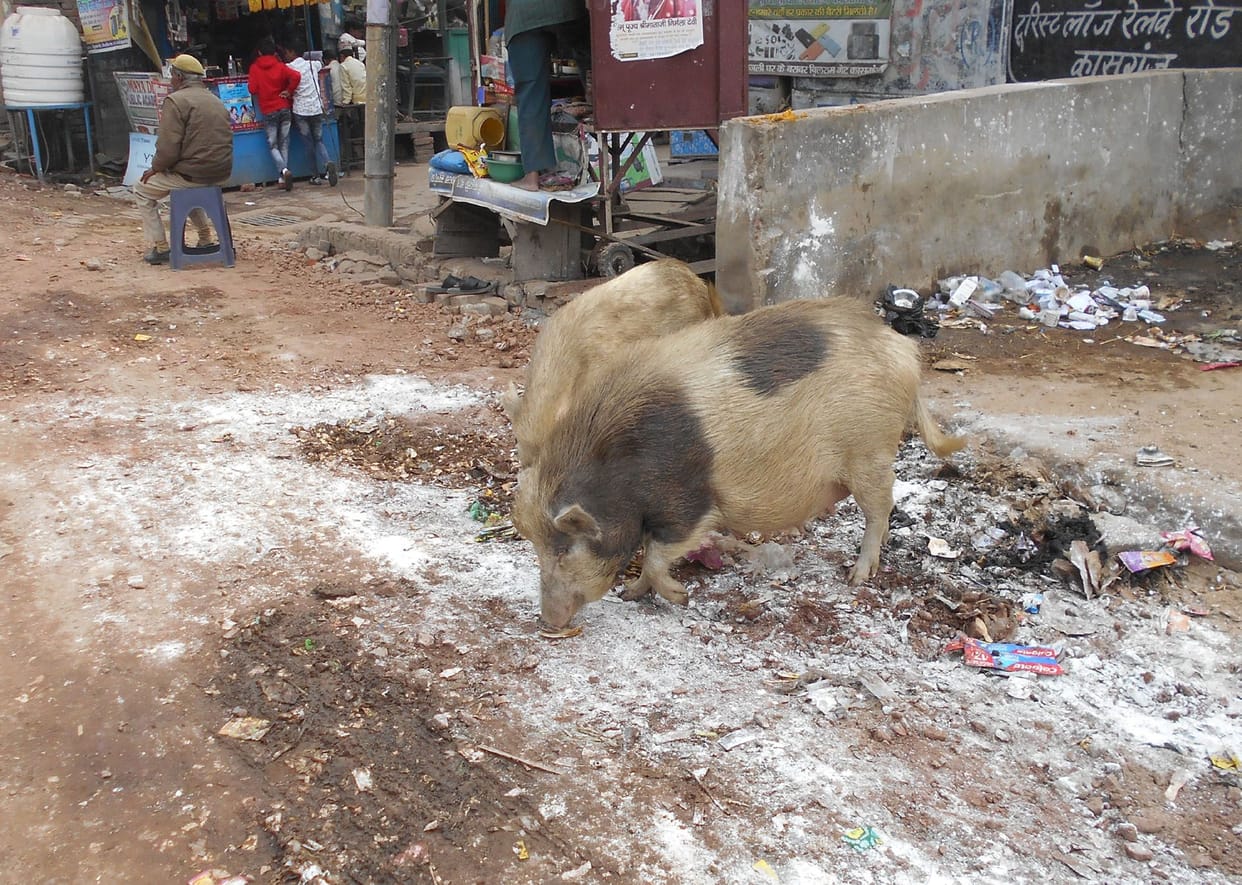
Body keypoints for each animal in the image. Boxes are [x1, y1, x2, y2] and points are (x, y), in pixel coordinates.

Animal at [511, 297, 966, 628]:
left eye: (564, 549)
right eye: (537, 548)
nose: (547, 621)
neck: (617, 470)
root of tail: (902, 350)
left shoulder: (688, 503)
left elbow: (658, 554)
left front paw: (680, 597)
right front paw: (632, 594)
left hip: (870, 452)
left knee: (879, 508)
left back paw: (858, 576)